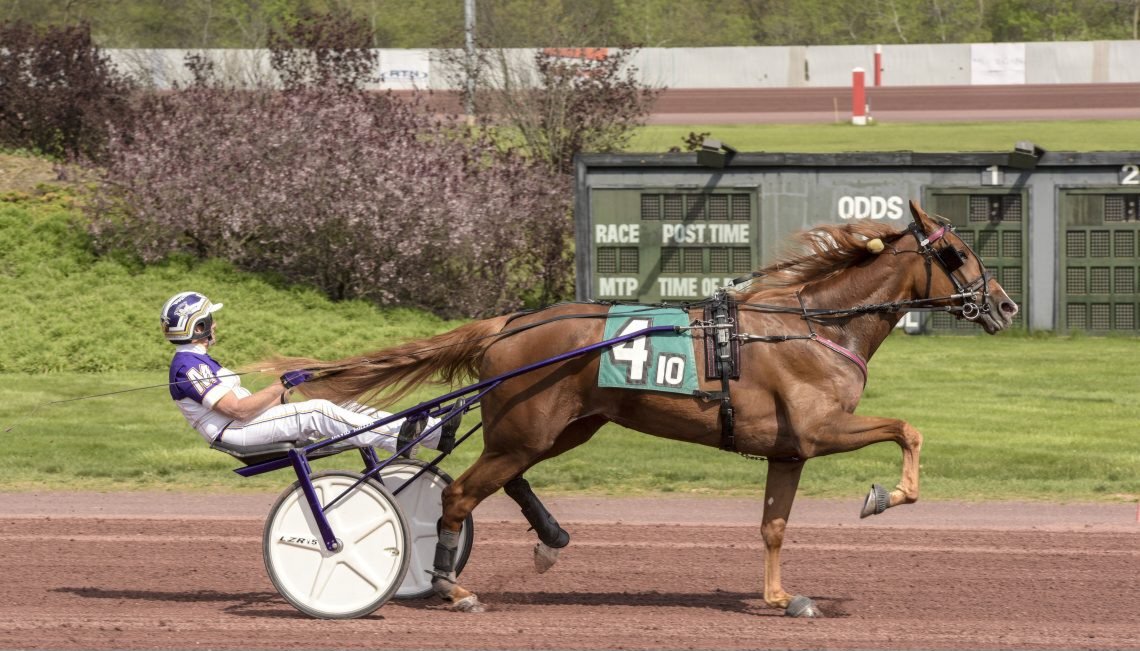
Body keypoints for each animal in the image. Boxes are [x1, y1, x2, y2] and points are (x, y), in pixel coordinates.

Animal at [275, 201, 1016, 620]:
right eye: (956, 254)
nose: (1005, 304)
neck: (811, 325)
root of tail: (507, 324)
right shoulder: (819, 428)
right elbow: (906, 429)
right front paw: (885, 495)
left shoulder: (788, 449)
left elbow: (774, 526)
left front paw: (782, 598)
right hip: (527, 429)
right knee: (459, 493)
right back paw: (449, 587)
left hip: (561, 428)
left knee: (503, 481)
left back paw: (546, 539)